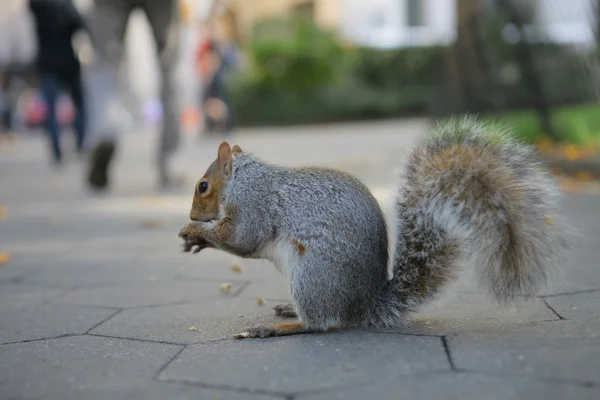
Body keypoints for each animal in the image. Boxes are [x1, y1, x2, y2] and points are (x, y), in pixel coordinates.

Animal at [178, 117, 568, 340]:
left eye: (203, 186)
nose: (194, 213)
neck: (242, 179)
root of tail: (363, 305)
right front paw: (194, 239)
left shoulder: (253, 206)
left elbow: (240, 239)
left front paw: (197, 233)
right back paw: (288, 311)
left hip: (312, 272)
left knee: (322, 323)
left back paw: (277, 327)